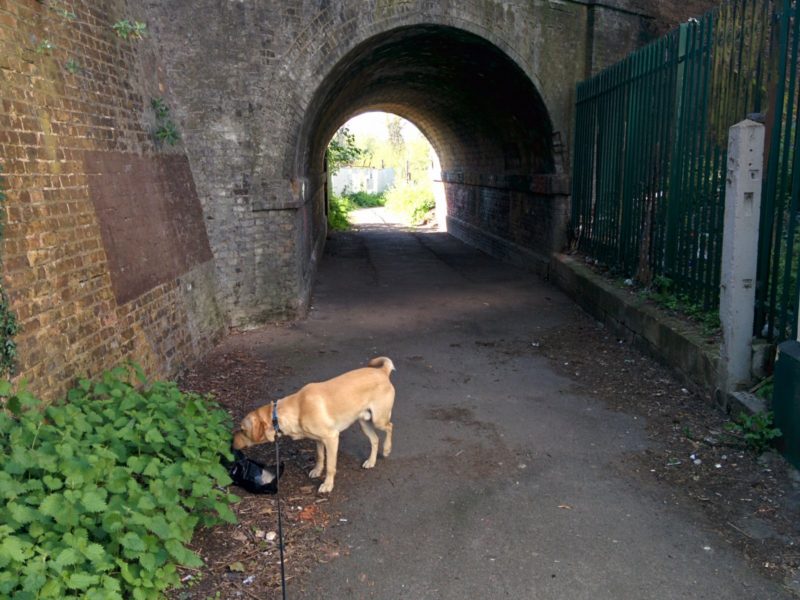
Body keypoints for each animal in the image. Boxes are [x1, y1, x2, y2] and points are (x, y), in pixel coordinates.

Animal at [230, 356, 396, 492]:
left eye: (242, 429)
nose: (231, 442)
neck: (296, 409)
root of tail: (382, 371)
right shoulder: (318, 440)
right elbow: (320, 457)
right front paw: (317, 470)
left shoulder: (332, 438)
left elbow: (330, 466)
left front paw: (328, 485)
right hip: (364, 423)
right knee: (375, 439)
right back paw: (371, 461)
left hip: (379, 420)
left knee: (390, 427)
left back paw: (387, 449)